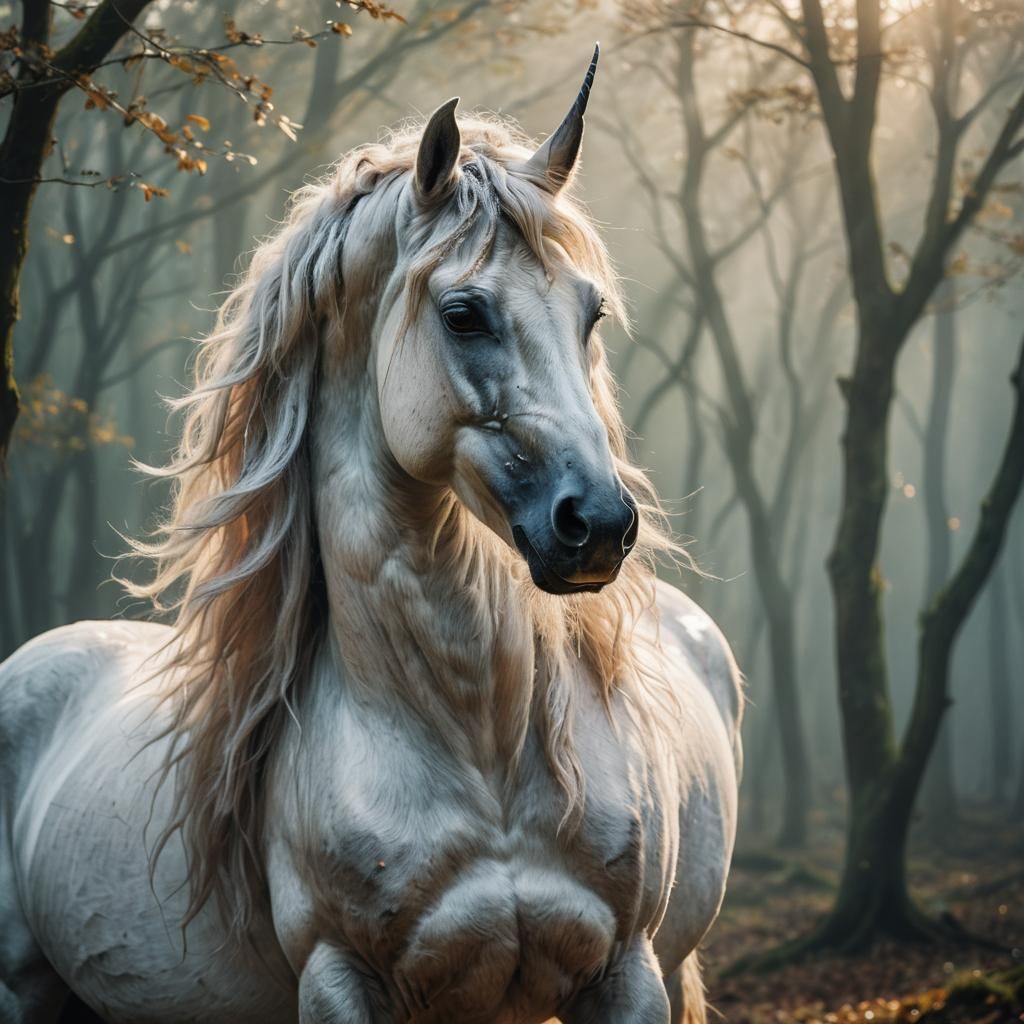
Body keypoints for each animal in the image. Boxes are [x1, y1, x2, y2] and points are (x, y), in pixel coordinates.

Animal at [0, 47, 742, 1024]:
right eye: (463, 313)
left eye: (591, 315)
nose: (599, 526)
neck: (478, 743)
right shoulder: (339, 979)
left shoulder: (627, 971)